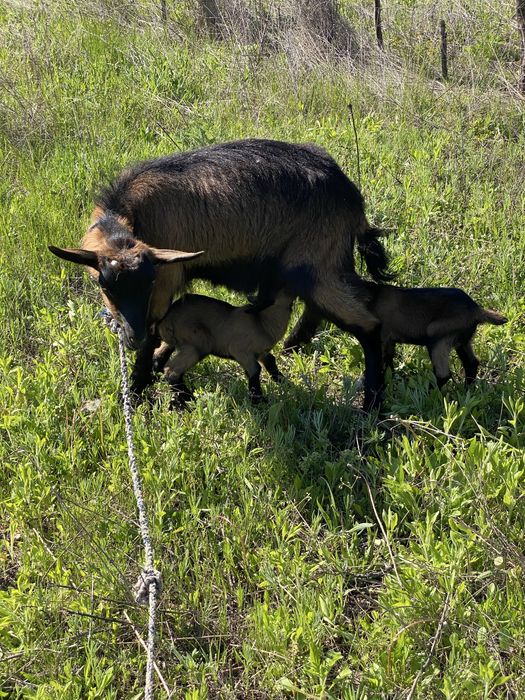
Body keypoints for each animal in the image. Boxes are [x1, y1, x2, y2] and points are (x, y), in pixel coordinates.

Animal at [153, 290, 294, 406]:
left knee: (159, 355)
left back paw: (156, 378)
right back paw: (190, 400)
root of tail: (166, 319)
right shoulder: (241, 351)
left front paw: (286, 383)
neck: (262, 322)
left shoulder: (261, 353)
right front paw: (259, 401)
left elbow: (271, 362)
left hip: (172, 342)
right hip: (198, 343)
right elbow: (255, 370)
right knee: (172, 370)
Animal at [282, 282, 507, 388]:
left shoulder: (381, 337)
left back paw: (429, 390)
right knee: (472, 363)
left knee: (444, 374)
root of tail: (476, 309)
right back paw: (467, 388)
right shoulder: (389, 339)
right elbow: (388, 362)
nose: (288, 347)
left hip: (439, 338)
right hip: (462, 340)